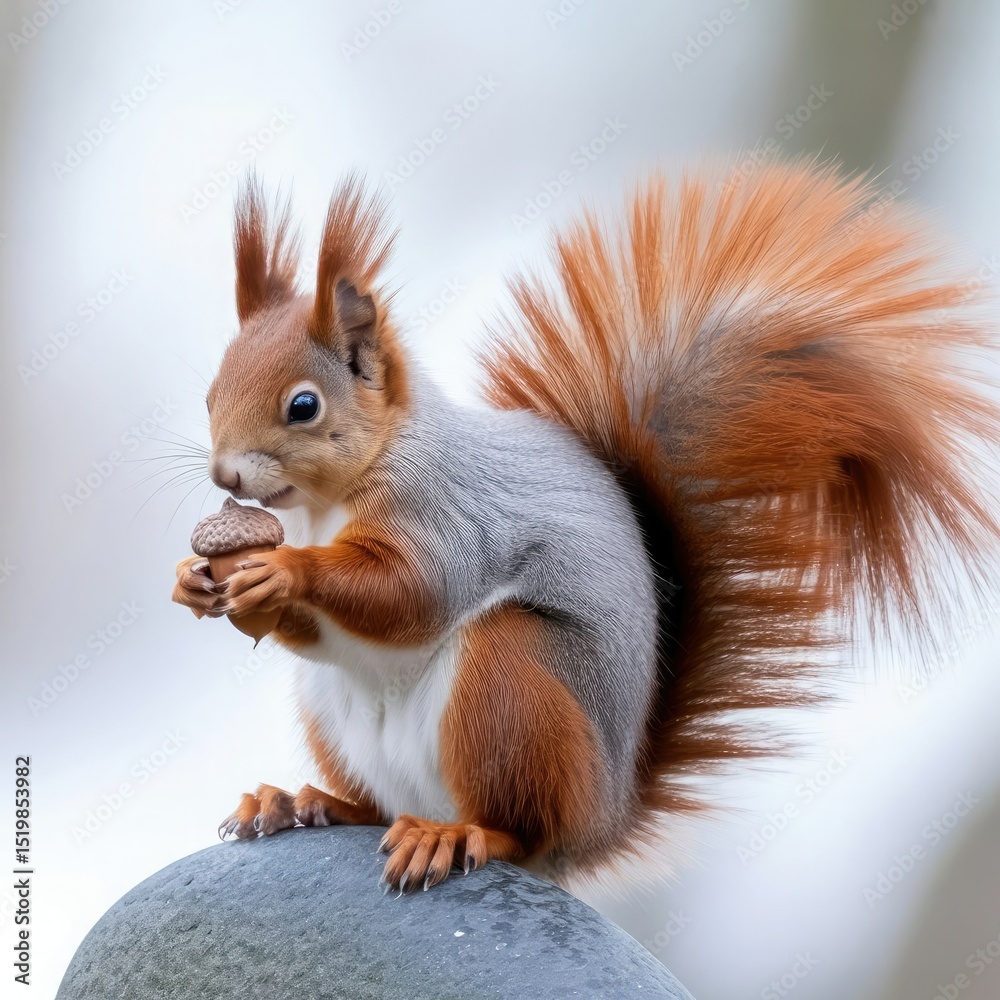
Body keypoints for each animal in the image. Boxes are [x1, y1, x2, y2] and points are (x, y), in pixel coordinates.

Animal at [172, 160, 999, 893]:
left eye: (303, 406)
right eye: (210, 393)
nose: (225, 478)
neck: (328, 502)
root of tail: (602, 821)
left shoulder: (445, 511)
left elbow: (414, 592)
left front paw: (286, 572)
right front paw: (196, 582)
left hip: (511, 686)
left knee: (518, 826)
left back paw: (456, 834)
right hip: (333, 709)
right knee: (376, 803)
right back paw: (304, 802)